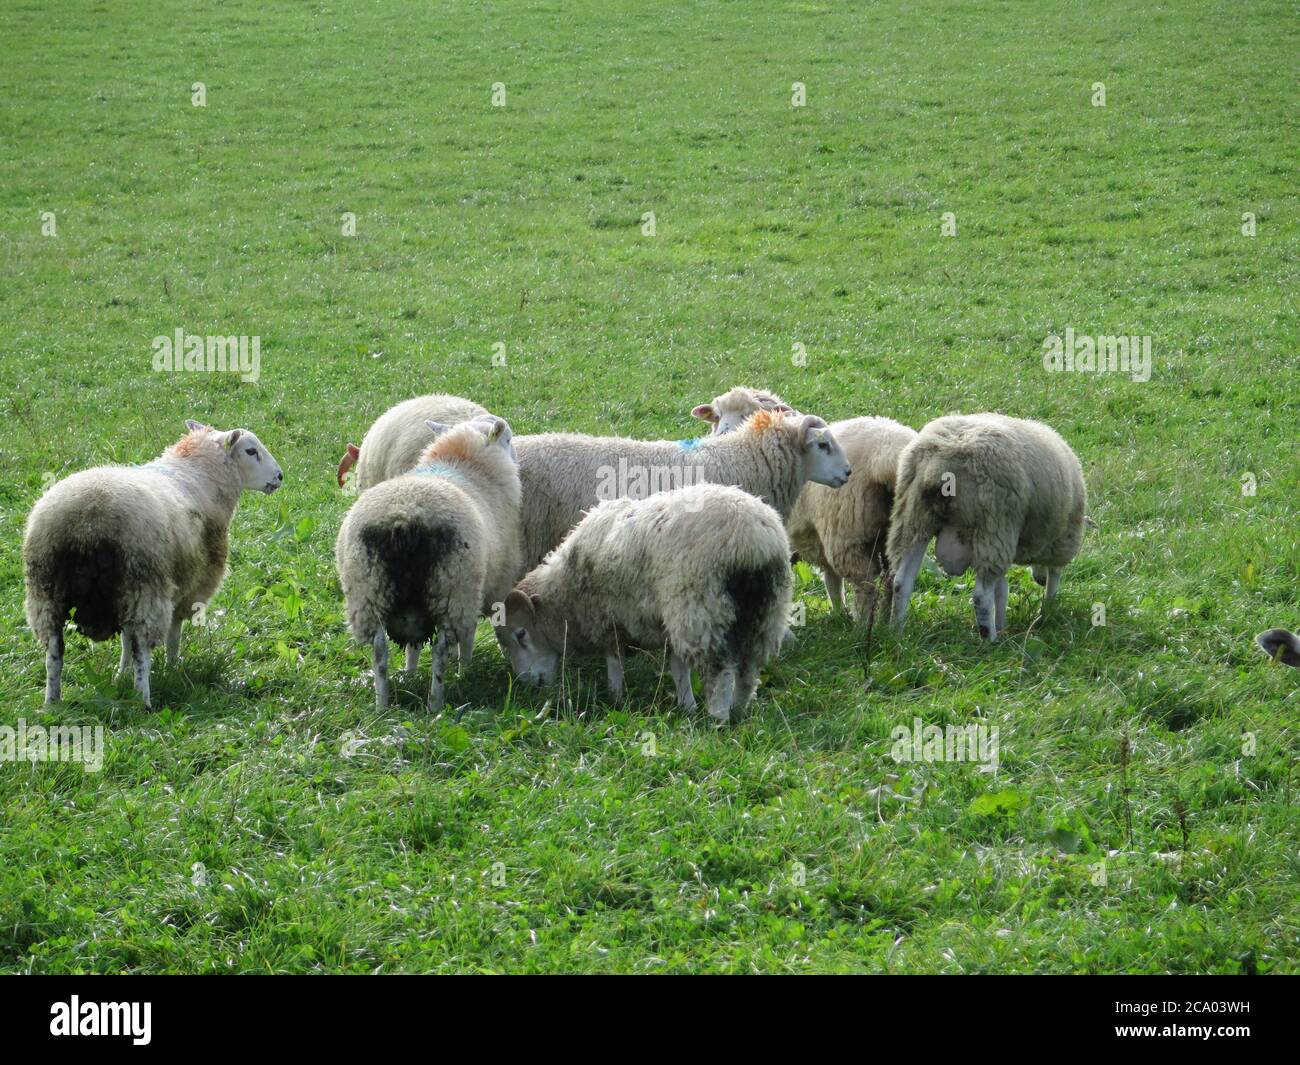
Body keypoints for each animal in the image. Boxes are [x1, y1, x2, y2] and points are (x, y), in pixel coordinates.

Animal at [23, 421, 284, 709]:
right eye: (251, 451)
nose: (280, 476)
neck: (200, 472)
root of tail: (89, 523)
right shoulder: (191, 586)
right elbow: (172, 635)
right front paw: (172, 669)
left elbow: (125, 640)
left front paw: (120, 676)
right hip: (144, 586)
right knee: (142, 650)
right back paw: (143, 700)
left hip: (47, 593)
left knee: (54, 652)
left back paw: (52, 702)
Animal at [334, 414, 522, 710]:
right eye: (509, 439)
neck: (464, 462)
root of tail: (404, 518)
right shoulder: (482, 590)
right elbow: (467, 639)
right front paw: (465, 670)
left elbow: (413, 645)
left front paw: (410, 672)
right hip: (452, 589)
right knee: (440, 650)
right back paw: (436, 703)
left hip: (369, 591)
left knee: (379, 651)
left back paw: (382, 703)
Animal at [498, 482, 793, 723]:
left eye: (521, 634)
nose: (526, 684)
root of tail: (754, 541)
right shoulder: (666, 621)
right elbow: (678, 668)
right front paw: (686, 704)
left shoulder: (608, 618)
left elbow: (614, 662)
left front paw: (616, 697)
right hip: (764, 613)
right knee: (749, 669)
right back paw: (739, 710)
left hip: (701, 608)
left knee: (720, 672)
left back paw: (717, 718)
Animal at [690, 388, 917, 621]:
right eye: (717, 416)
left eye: (749, 414)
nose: (722, 436)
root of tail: (887, 455)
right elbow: (832, 582)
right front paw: (838, 614)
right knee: (892, 579)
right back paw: (884, 622)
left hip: (846, 531)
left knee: (866, 583)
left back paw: (863, 625)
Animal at [886, 413, 1086, 641]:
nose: (1039, 581)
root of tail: (940, 468)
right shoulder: (1056, 541)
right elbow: (1054, 575)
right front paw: (1049, 607)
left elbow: (1002, 589)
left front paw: (1002, 623)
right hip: (993, 526)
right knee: (981, 595)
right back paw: (989, 639)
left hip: (913, 520)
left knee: (902, 582)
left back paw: (896, 632)